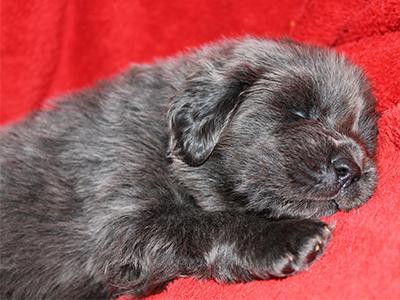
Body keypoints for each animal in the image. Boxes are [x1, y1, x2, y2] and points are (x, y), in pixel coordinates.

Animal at [0, 38, 376, 298]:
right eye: (299, 112)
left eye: (363, 134)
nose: (351, 168)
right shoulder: (122, 220)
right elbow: (204, 224)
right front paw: (285, 236)